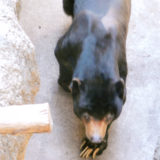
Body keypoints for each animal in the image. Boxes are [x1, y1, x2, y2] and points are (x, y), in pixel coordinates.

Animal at [54, 0, 131, 158]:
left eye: (109, 115)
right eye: (86, 114)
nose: (96, 139)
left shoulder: (122, 67)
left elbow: (121, 101)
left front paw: (91, 148)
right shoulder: (67, 45)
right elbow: (60, 55)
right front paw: (66, 84)